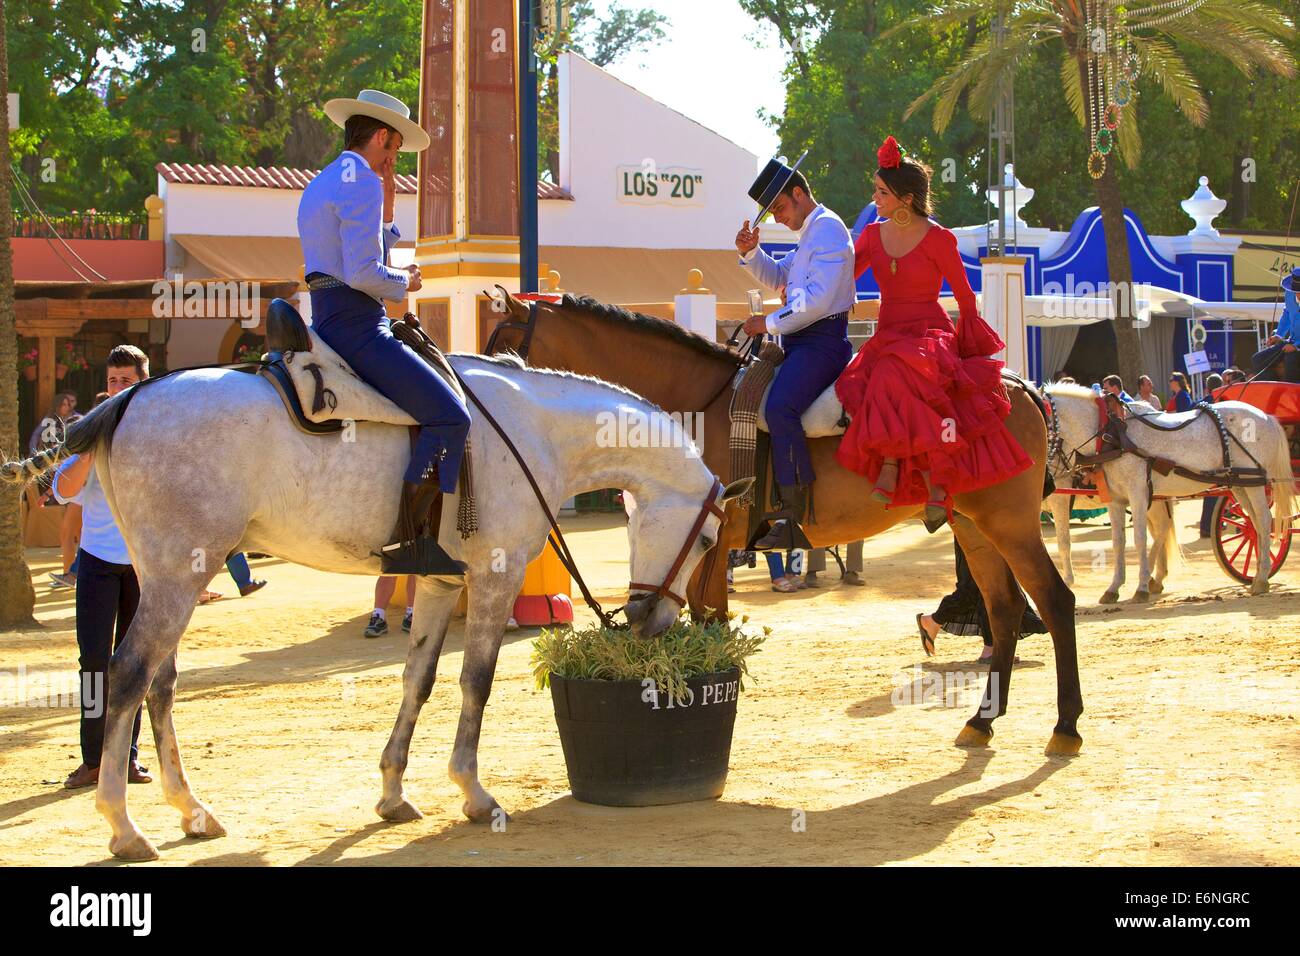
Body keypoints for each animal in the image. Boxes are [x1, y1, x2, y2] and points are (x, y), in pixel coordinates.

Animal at [483, 291, 1081, 754]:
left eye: (501, 348)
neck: (698, 406)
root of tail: (1019, 386)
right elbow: (703, 618)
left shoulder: (711, 542)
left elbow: (710, 618)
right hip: (974, 527)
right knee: (1004, 612)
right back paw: (982, 721)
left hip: (1010, 524)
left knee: (1053, 600)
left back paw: (1066, 725)